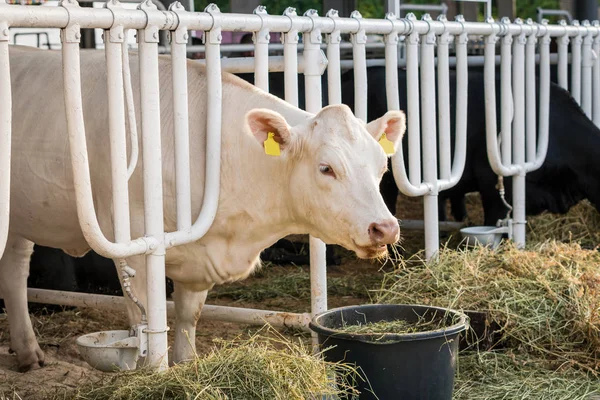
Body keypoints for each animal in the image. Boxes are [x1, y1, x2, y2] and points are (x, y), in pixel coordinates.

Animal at [0, 45, 406, 370]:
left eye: (381, 166)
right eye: (326, 168)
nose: (385, 228)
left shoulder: (199, 253)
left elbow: (188, 316)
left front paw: (187, 364)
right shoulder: (134, 248)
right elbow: (143, 321)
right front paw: (149, 372)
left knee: (15, 271)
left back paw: (29, 353)